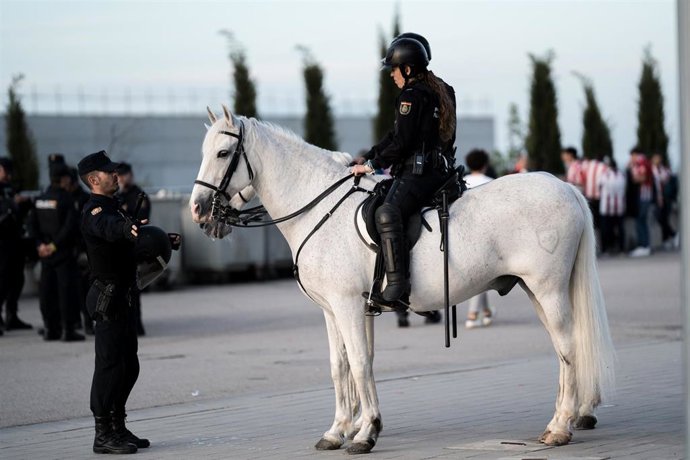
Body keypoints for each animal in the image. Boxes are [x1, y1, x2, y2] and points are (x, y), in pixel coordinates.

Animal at [190, 106, 615, 454]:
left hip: (549, 290)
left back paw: (560, 427)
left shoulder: (346, 305)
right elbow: (342, 365)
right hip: (536, 292)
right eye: (203, 153)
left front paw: (366, 433)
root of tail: (566, 187)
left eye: (223, 154)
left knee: (567, 346)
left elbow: (359, 362)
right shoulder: (339, 310)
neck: (319, 209)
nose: (197, 210)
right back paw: (566, 418)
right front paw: (340, 429)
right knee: (565, 348)